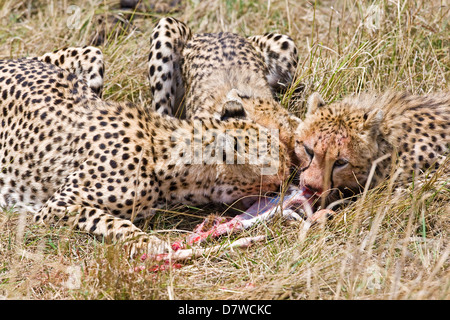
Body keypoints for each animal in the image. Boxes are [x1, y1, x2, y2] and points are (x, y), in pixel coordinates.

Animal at [0, 50, 292, 255]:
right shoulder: (53, 207)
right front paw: (148, 243)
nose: (287, 189)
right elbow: (105, 218)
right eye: (276, 181)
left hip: (93, 59)